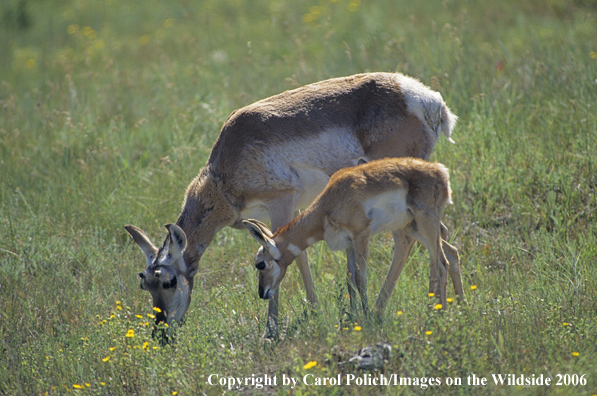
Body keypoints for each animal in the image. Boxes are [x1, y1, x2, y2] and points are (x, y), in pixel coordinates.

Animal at [243, 156, 466, 318]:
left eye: (260, 264)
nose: (262, 293)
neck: (328, 204)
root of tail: (440, 171)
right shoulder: (349, 244)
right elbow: (349, 278)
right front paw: (352, 316)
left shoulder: (361, 236)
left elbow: (360, 277)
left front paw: (365, 316)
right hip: (416, 229)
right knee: (452, 253)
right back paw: (461, 306)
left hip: (426, 225)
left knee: (441, 264)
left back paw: (442, 315)